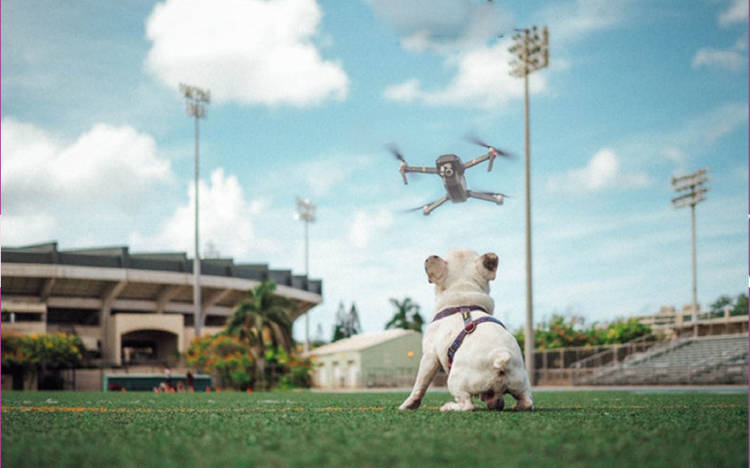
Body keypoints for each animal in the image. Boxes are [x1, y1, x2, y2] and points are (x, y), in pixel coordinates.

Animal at [400, 250, 536, 412]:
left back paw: (449, 406)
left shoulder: (429, 356)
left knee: (467, 405)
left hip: (454, 380)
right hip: (521, 382)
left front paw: (407, 405)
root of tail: (500, 356)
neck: (463, 297)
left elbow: (420, 385)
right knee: (526, 401)